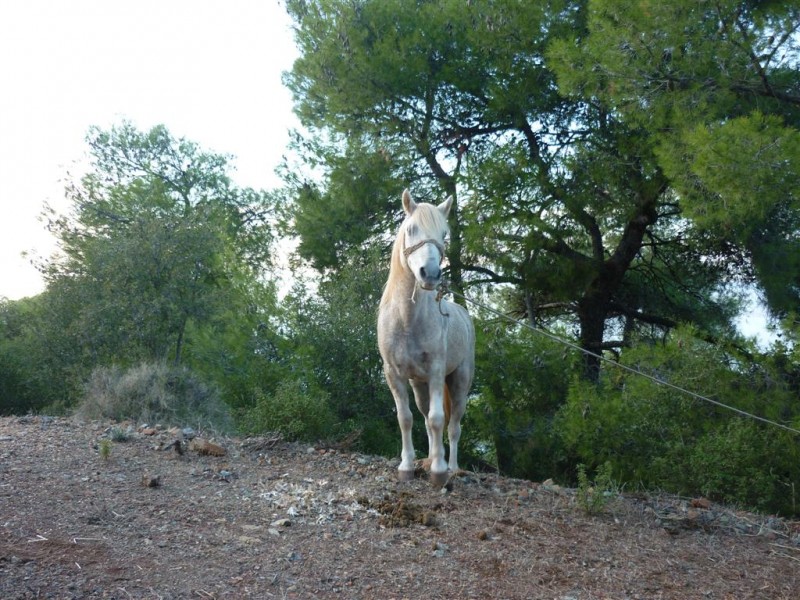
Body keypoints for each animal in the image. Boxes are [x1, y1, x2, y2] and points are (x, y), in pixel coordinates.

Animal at [376, 189, 476, 488]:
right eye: (411, 229)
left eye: (444, 233)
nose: (430, 274)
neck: (407, 320)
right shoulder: (394, 375)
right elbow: (406, 419)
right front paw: (407, 466)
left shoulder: (435, 372)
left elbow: (437, 419)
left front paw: (440, 472)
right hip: (419, 385)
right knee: (426, 420)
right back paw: (431, 459)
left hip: (460, 381)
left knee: (453, 426)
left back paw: (450, 466)